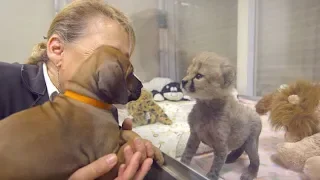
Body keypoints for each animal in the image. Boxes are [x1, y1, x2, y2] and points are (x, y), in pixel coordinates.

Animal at [0, 45, 164, 180]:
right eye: (130, 72)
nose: (142, 85)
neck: (86, 97)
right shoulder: (109, 160)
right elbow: (128, 146)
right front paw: (142, 147)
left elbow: (128, 133)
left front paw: (154, 149)